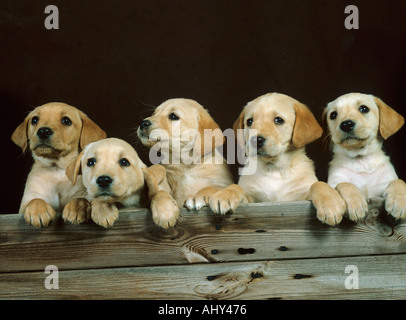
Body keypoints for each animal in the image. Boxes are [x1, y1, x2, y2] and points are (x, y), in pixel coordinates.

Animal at [310, 93, 402, 225]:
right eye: (333, 115)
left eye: (364, 109)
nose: (346, 124)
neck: (360, 159)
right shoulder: (335, 182)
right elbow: (345, 183)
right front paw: (355, 203)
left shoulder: (383, 186)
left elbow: (399, 181)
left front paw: (398, 202)